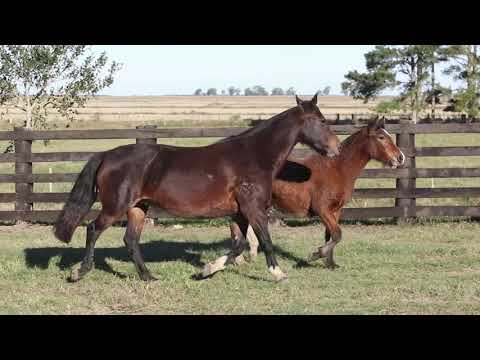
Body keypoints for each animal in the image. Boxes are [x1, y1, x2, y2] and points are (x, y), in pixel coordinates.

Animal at [54, 94, 342, 282]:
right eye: (322, 121)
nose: (336, 149)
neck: (253, 156)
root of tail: (106, 155)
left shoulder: (239, 212)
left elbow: (238, 245)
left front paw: (206, 270)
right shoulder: (253, 208)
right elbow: (265, 241)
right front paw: (278, 273)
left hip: (138, 208)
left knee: (131, 240)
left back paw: (148, 276)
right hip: (116, 206)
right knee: (93, 230)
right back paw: (79, 272)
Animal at [242, 116, 404, 268]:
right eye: (381, 137)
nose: (400, 157)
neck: (337, 169)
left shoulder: (335, 210)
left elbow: (330, 235)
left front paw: (330, 263)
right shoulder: (322, 209)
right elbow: (337, 234)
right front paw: (314, 255)